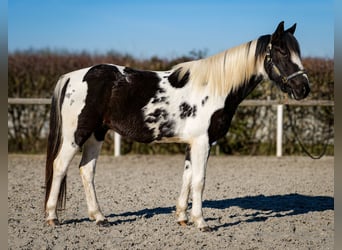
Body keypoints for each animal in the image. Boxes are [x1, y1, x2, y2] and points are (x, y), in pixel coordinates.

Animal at [44, 21, 310, 230]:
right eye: (282, 52)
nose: (303, 88)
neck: (214, 86)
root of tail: (72, 76)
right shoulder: (202, 142)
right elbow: (200, 180)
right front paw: (201, 222)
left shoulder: (194, 143)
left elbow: (187, 177)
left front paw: (183, 217)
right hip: (76, 135)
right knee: (60, 166)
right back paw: (52, 217)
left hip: (96, 134)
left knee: (86, 170)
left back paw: (99, 217)